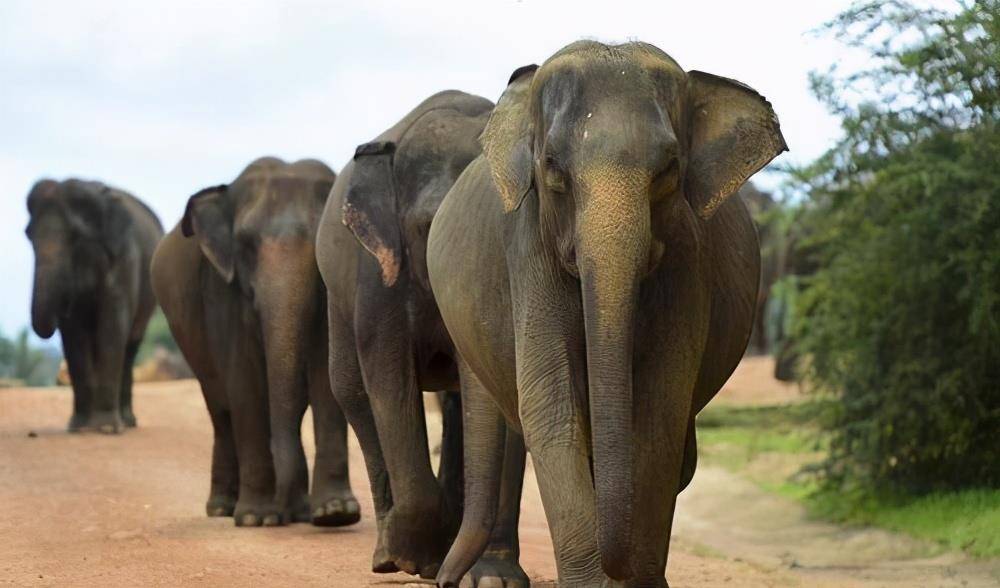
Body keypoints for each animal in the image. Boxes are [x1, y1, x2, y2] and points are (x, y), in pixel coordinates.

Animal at [25, 178, 163, 432]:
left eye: (76, 237)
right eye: (28, 235)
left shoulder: (125, 257)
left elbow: (113, 323)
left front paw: (106, 429)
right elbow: (73, 332)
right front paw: (78, 428)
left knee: (130, 347)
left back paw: (126, 422)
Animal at [152, 157, 360, 528]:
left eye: (324, 240)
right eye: (246, 245)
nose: (286, 511)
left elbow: (326, 373)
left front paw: (334, 513)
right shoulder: (221, 289)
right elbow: (244, 380)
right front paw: (255, 518)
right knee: (221, 411)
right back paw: (224, 509)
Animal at [316, 88, 528, 584]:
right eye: (430, 229)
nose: (446, 579)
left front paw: (491, 578)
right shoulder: (380, 276)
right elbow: (390, 381)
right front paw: (419, 558)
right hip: (338, 298)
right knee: (353, 393)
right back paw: (388, 555)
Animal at [426, 39, 784, 584]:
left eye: (669, 171)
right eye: (553, 168)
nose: (442, 580)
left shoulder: (686, 256)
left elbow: (659, 409)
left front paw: (636, 579)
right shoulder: (529, 249)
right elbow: (553, 407)